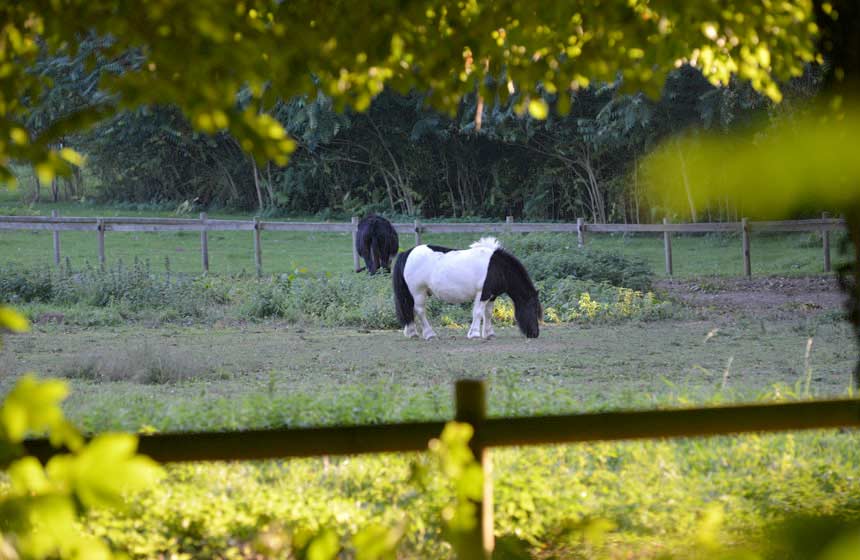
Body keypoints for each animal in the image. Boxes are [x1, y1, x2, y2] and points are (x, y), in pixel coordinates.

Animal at [394, 237, 540, 340]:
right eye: (533, 308)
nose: (535, 333)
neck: (498, 267)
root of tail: (407, 253)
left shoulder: (492, 296)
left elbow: (488, 314)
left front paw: (489, 334)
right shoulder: (483, 294)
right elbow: (478, 313)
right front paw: (474, 334)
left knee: (410, 310)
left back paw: (412, 333)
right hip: (418, 292)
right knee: (419, 311)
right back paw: (430, 334)